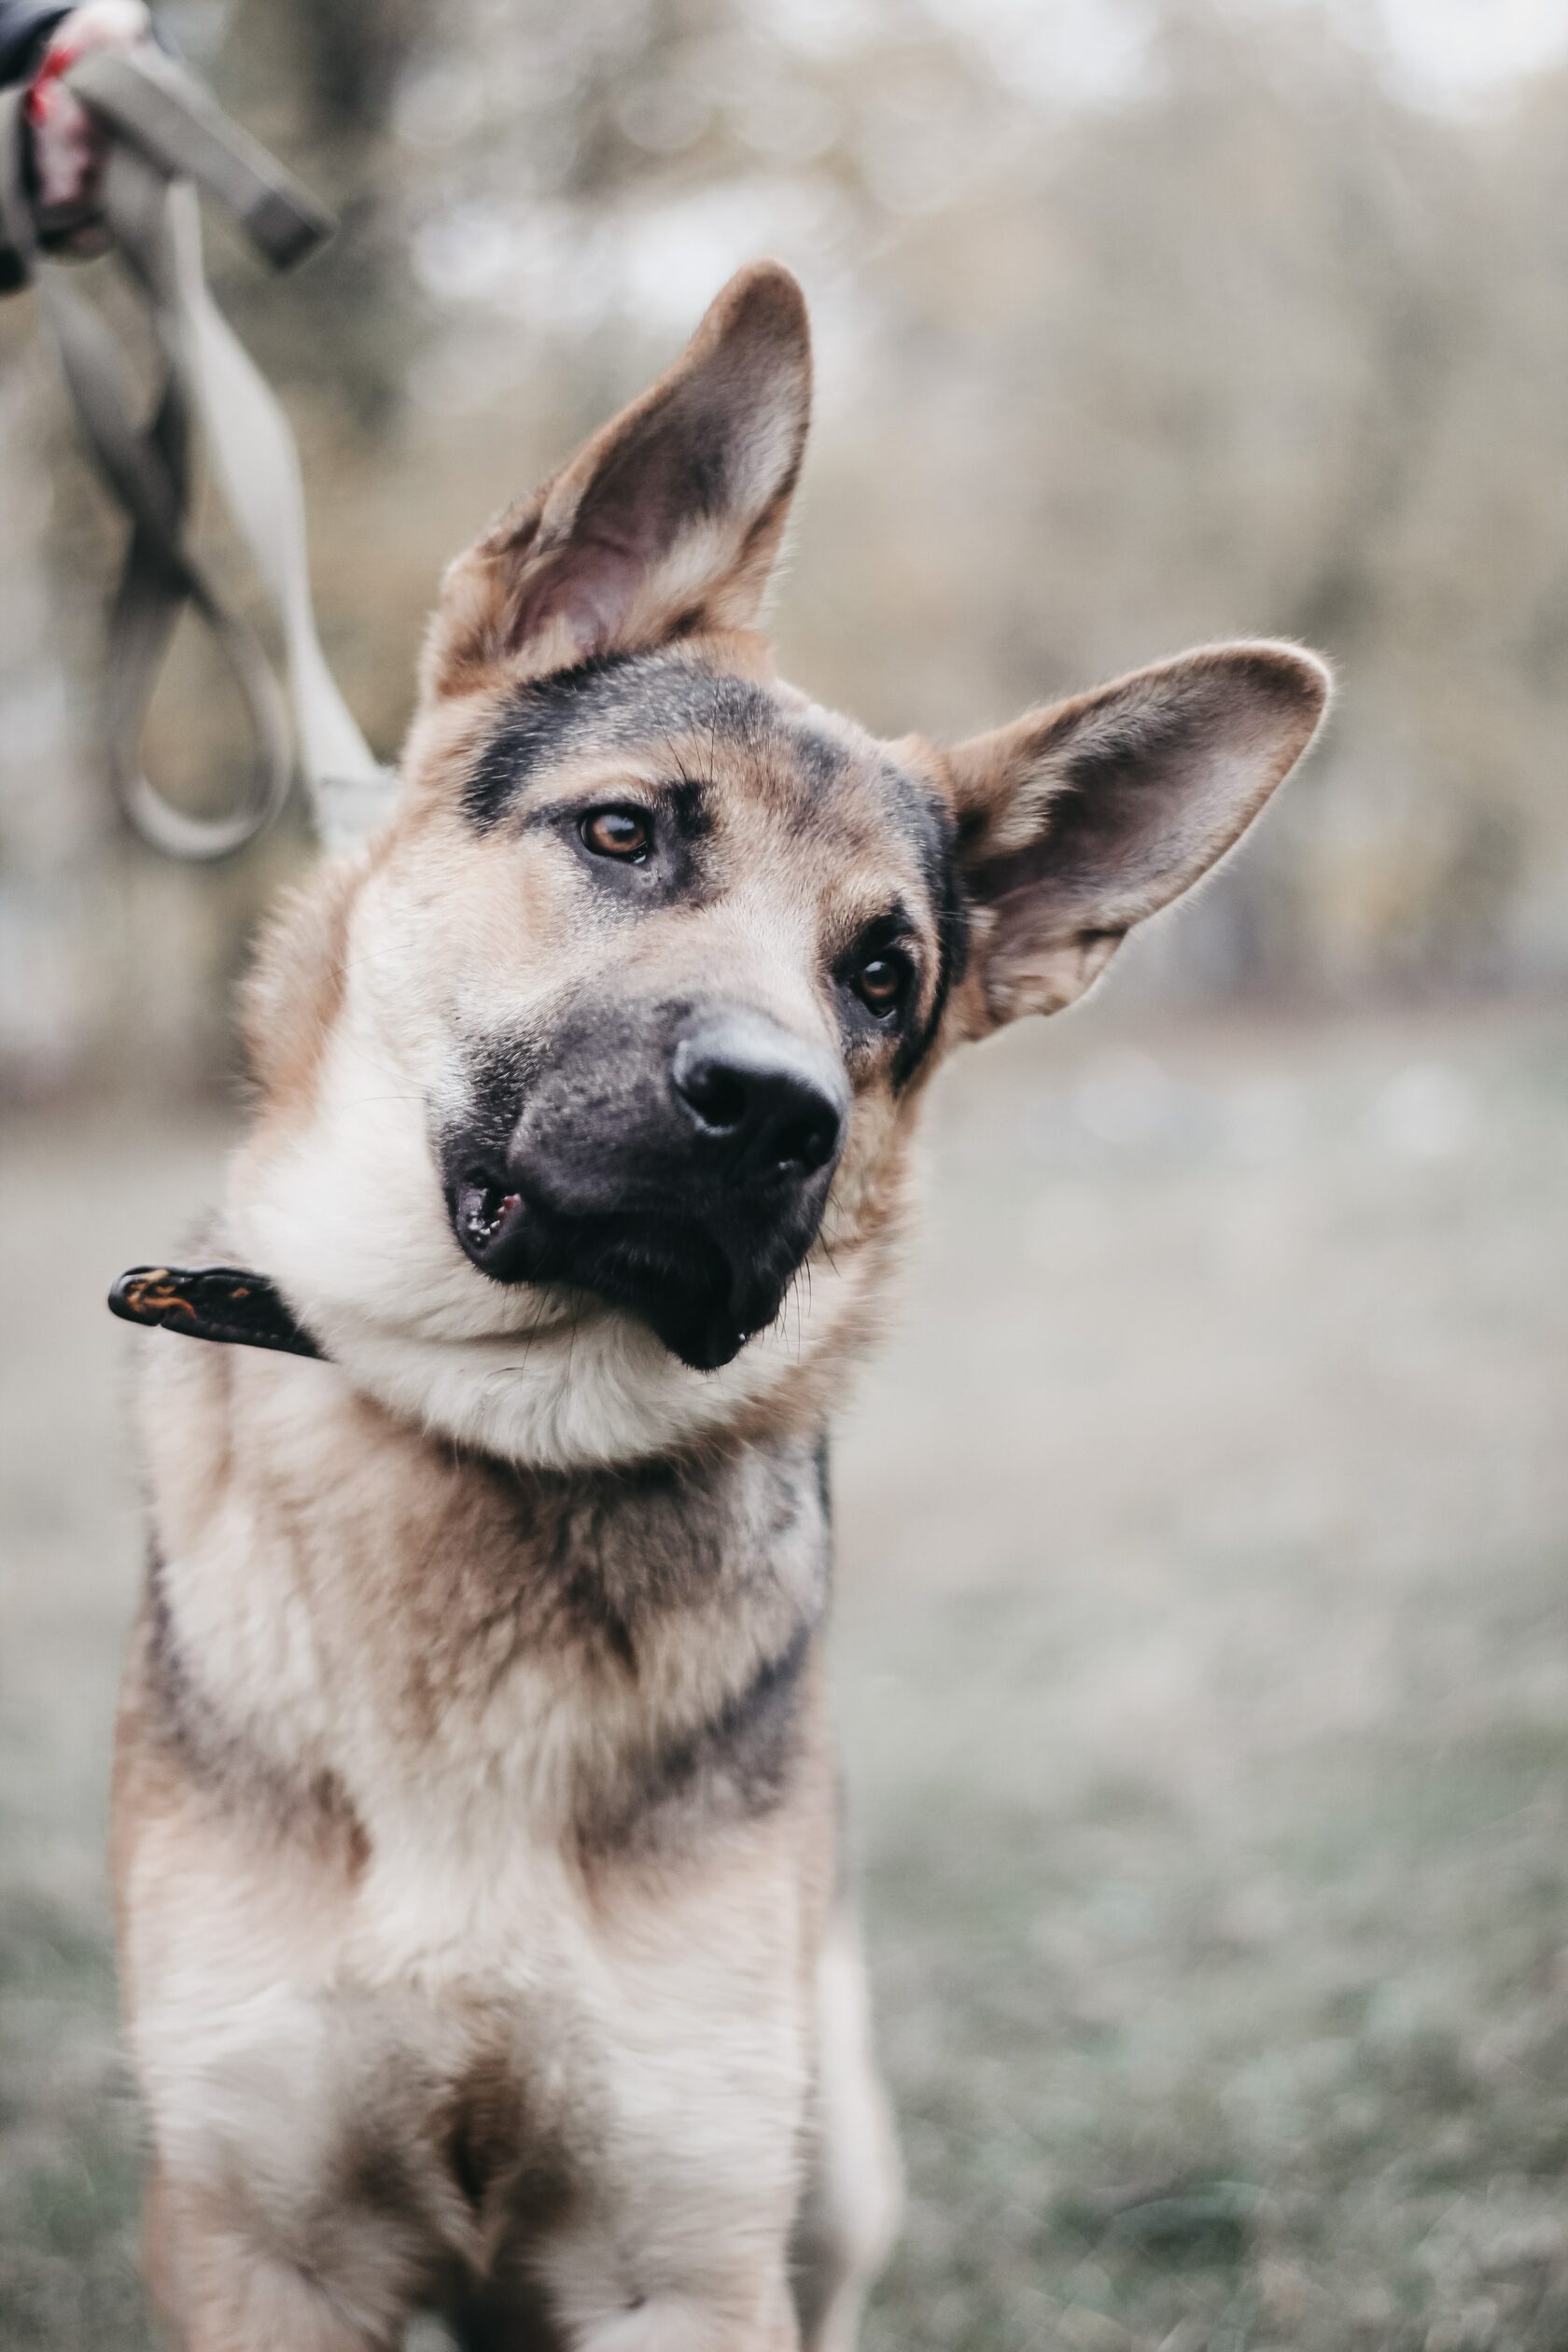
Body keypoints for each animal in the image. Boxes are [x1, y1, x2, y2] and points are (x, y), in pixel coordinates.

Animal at [116, 261, 1335, 2352]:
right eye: (627, 835)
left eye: (882, 975)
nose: (777, 1113)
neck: (498, 1437)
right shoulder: (262, 2239)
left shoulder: (682, 2252)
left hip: (832, 2160)